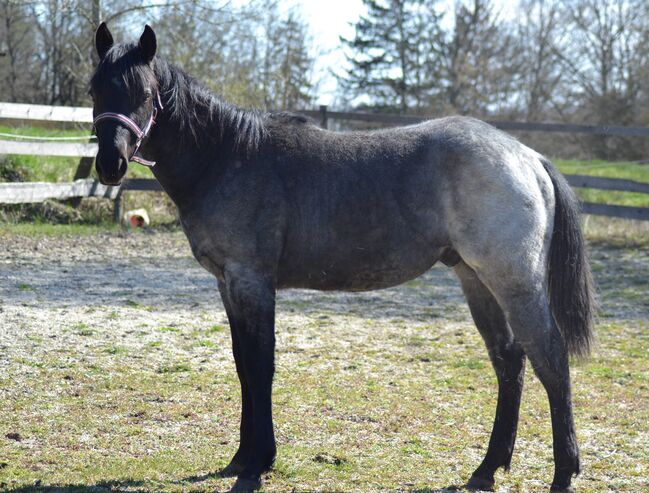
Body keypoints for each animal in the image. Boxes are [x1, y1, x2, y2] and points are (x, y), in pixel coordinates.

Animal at [90, 24, 592, 492]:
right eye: (96, 90)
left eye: (144, 94)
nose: (110, 165)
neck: (227, 156)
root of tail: (528, 157)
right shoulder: (227, 283)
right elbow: (242, 365)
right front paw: (240, 458)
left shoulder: (252, 280)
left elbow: (260, 364)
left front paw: (255, 466)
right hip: (475, 279)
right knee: (509, 360)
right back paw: (486, 470)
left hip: (512, 280)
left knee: (551, 359)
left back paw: (563, 473)